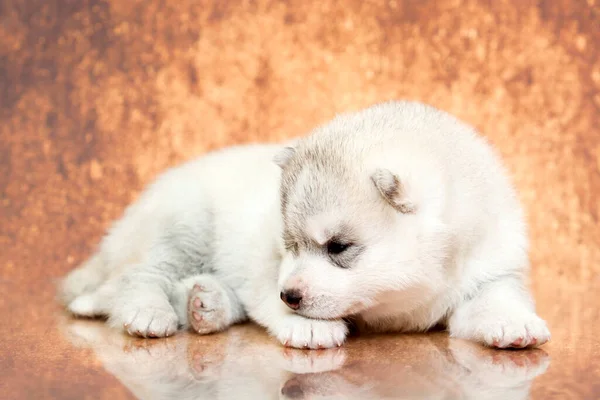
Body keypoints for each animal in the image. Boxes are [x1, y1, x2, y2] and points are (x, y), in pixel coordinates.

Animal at [58, 101, 552, 350]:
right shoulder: (263, 263)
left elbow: (494, 298)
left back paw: (206, 304)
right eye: (290, 245)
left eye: (338, 247)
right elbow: (263, 291)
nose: (290, 295)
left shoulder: (490, 265)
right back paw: (149, 311)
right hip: (184, 224)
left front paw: (512, 322)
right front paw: (303, 323)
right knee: (139, 276)